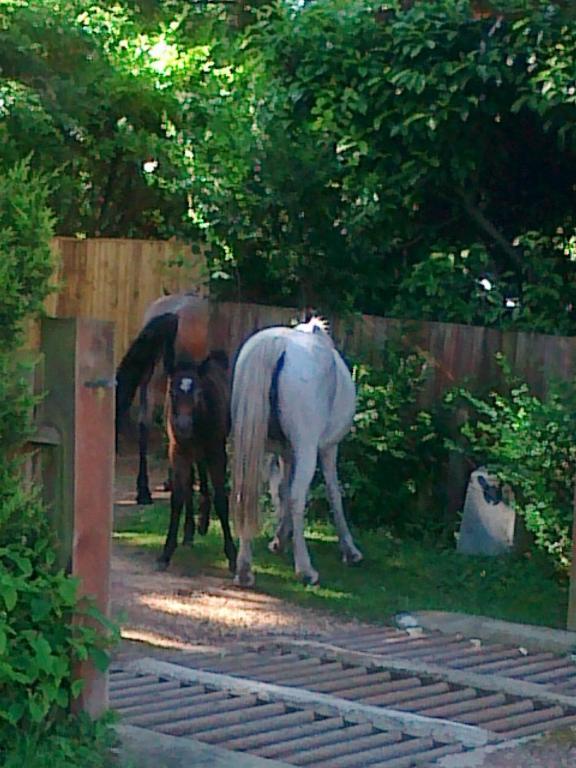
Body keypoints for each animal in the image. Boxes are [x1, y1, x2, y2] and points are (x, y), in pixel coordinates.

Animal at [228, 318, 360, 588]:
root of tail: (278, 344)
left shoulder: (286, 452)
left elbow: (283, 489)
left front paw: (280, 537)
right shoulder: (328, 449)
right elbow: (333, 493)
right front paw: (349, 550)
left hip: (254, 447)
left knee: (247, 494)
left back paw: (245, 570)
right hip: (308, 448)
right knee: (299, 497)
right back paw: (306, 570)